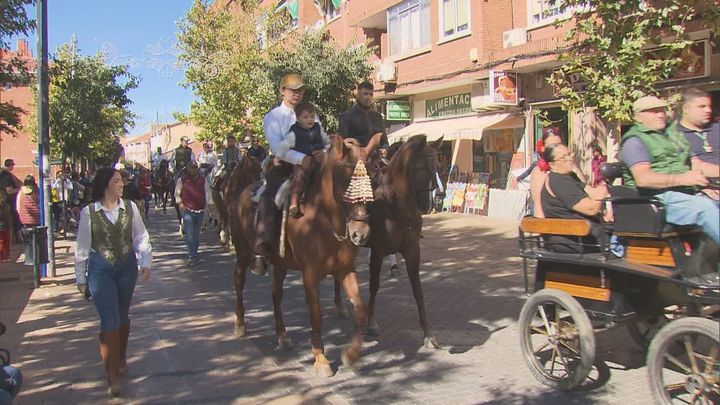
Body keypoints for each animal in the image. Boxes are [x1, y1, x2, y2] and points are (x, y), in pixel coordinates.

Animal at [229, 133, 382, 376]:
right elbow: (316, 314)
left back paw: (282, 336)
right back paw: (240, 323)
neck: (323, 217)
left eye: (373, 175)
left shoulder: (345, 269)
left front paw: (350, 355)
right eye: (344, 179)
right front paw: (320, 359)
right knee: (239, 281)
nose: (361, 232)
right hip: (243, 252)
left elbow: (359, 307)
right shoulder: (310, 274)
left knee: (276, 294)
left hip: (280, 263)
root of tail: (242, 194)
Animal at [366, 135, 444, 348]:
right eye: (418, 167)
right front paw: (371, 323)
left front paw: (428, 334)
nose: (428, 204)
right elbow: (374, 285)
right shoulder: (377, 251)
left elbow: (418, 289)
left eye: (438, 166)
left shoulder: (412, 251)